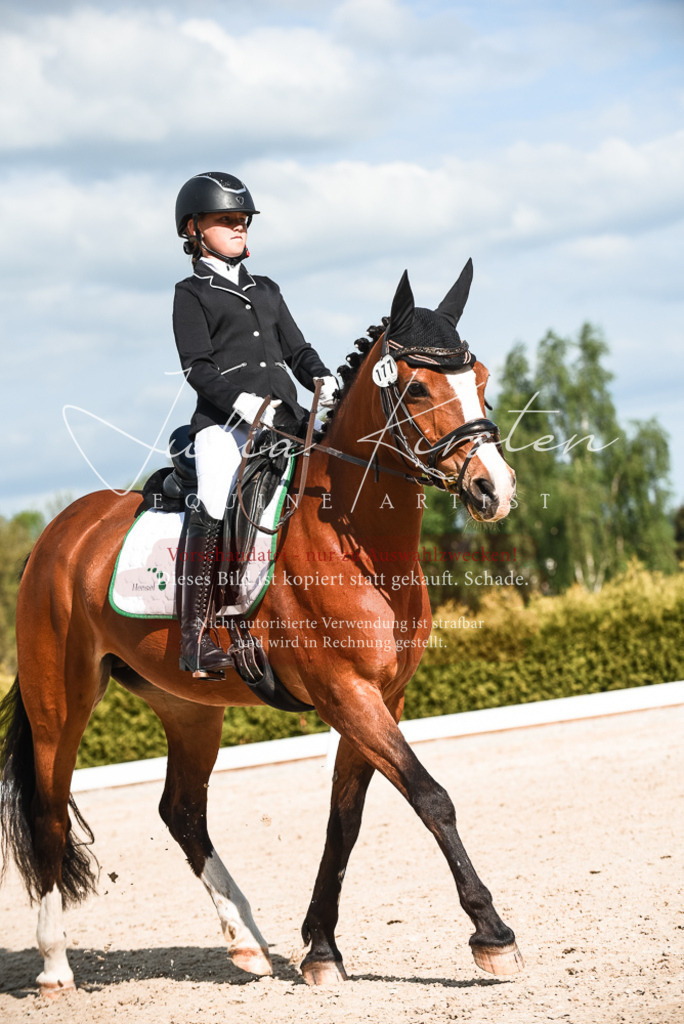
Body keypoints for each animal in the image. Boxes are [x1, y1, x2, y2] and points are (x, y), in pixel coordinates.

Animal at [0, 259, 521, 996]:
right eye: (417, 386)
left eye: (479, 376)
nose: (492, 489)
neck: (356, 540)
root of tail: (57, 534)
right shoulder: (346, 694)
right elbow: (430, 796)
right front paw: (493, 935)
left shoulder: (379, 699)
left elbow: (345, 820)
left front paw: (321, 949)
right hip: (59, 703)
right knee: (48, 809)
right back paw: (54, 966)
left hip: (188, 707)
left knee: (182, 811)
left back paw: (247, 940)